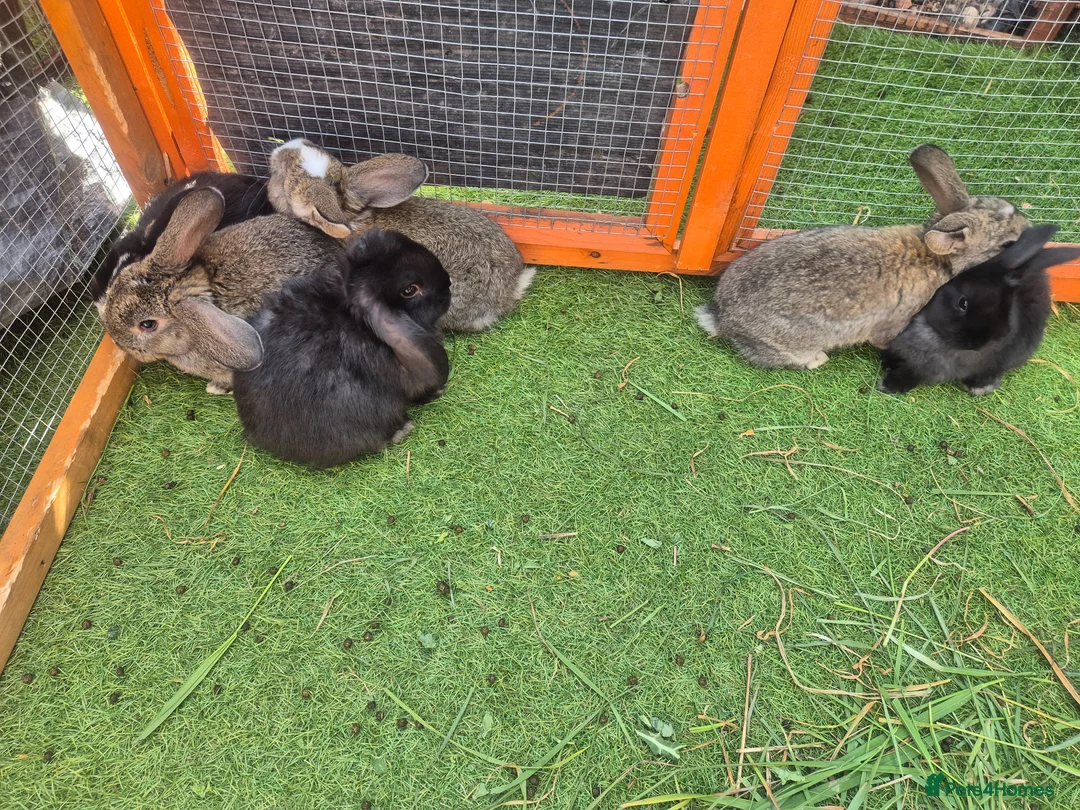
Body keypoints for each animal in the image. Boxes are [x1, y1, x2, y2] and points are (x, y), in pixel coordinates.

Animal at [878, 223, 1080, 395]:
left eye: (1008, 314)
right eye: (963, 303)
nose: (974, 344)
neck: (935, 337)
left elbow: (914, 375)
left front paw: (891, 384)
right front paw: (887, 366)